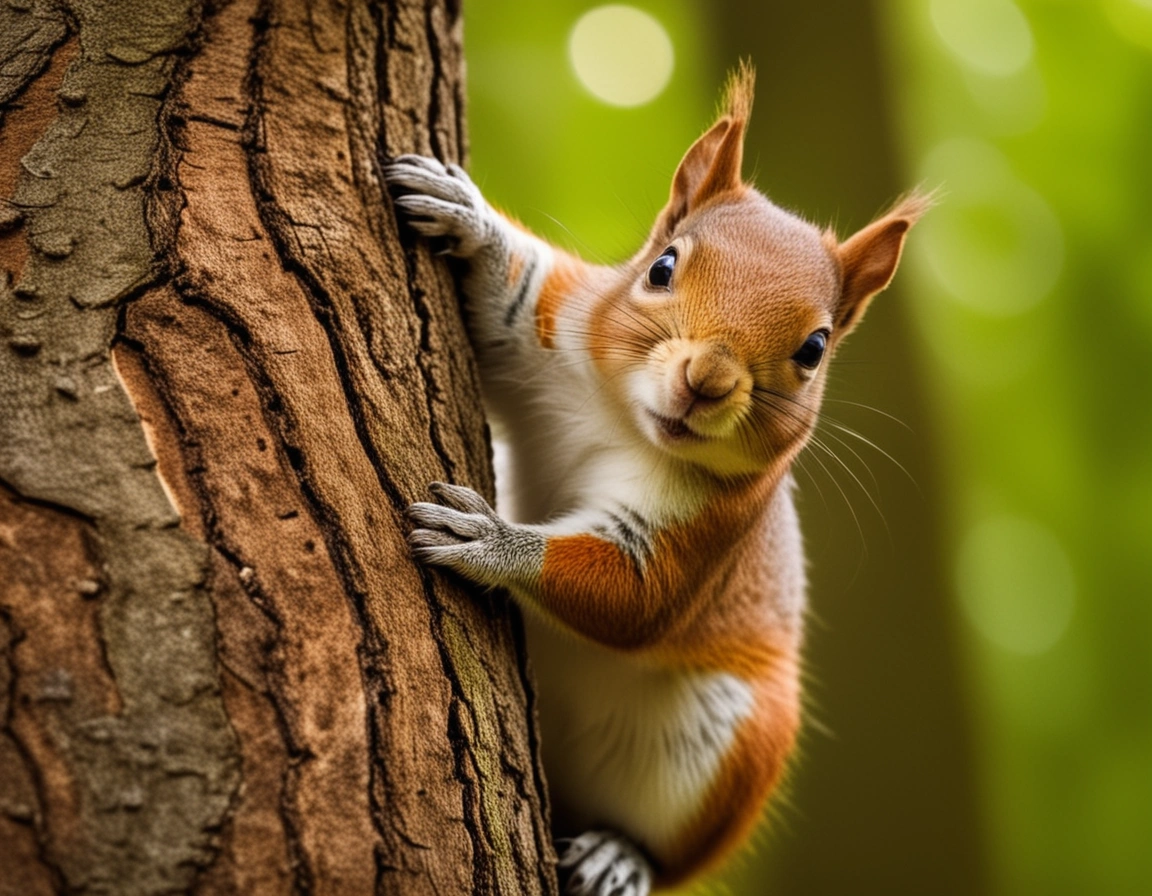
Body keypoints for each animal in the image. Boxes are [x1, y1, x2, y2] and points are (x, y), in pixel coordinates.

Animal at [384, 64, 926, 893]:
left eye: (814, 348)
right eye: (662, 266)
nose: (706, 380)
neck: (626, 421)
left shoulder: (713, 526)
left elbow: (633, 597)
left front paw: (486, 538)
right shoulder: (550, 328)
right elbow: (507, 300)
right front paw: (464, 214)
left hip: (733, 742)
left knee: (667, 853)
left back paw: (621, 858)